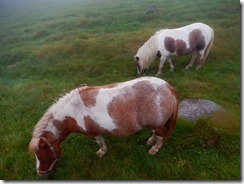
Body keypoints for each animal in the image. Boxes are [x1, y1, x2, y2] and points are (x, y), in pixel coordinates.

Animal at [28, 76, 178, 177]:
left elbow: (100, 142)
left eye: (43, 155)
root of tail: (168, 87)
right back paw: (150, 141)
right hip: (154, 124)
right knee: (157, 133)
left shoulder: (92, 133)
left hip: (156, 124)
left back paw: (154, 148)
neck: (74, 111)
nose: (41, 174)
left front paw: (102, 152)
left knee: (160, 135)